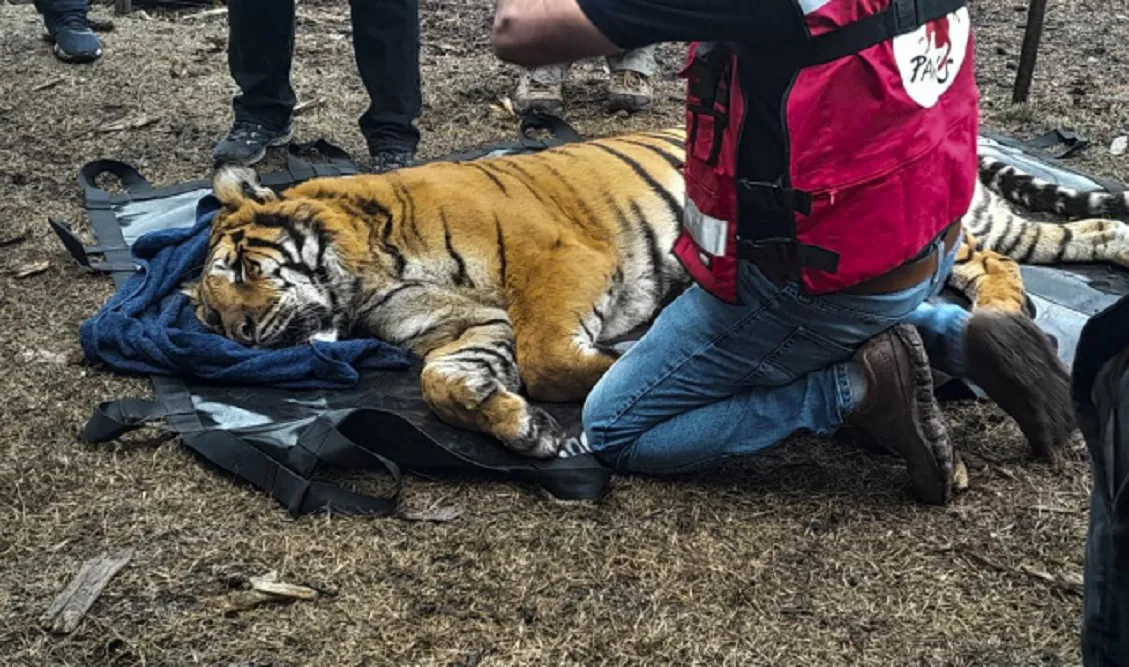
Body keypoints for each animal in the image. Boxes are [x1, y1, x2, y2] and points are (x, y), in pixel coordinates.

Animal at [184, 127, 1129, 459]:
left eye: (239, 272)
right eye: (205, 313)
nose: (240, 336)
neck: (367, 279)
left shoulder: (555, 259)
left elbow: (556, 357)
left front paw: (619, 359)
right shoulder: (459, 331)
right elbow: (445, 382)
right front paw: (524, 430)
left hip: (950, 228)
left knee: (994, 266)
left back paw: (1004, 319)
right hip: (1012, 225)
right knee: (1083, 234)